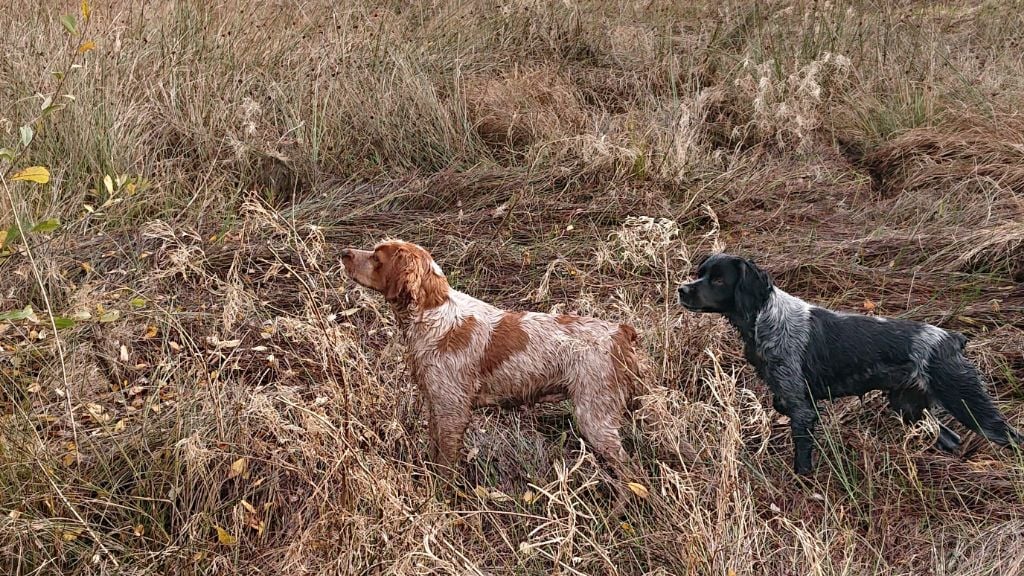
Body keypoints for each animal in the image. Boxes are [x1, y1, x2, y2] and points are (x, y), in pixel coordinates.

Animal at [344, 237, 647, 475]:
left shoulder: (452, 410)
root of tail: (621, 332)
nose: (344, 252)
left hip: (595, 418)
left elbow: (446, 466)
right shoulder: (436, 404)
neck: (433, 315)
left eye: (376, 257)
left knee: (633, 476)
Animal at [675, 253, 1019, 473]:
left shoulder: (802, 408)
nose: (682, 290)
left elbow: (802, 460)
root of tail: (952, 339)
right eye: (701, 272)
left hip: (968, 403)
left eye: (719, 280)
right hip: (909, 406)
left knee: (1012, 438)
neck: (764, 317)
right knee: (950, 437)